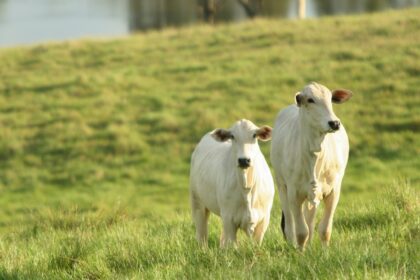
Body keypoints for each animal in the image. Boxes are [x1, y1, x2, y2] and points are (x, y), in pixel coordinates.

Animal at [270, 82, 352, 248]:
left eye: (330, 99)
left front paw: (324, 251)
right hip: (281, 186)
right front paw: (299, 252)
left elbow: (324, 229)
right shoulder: (294, 193)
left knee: (310, 219)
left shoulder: (333, 192)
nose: (334, 123)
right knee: (290, 226)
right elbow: (301, 232)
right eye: (310, 100)